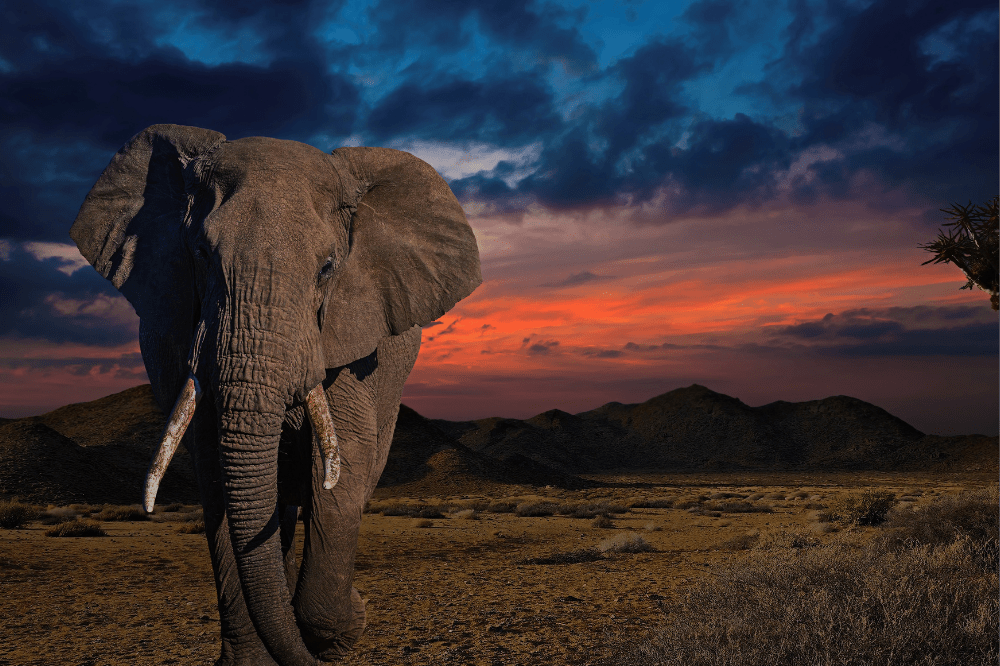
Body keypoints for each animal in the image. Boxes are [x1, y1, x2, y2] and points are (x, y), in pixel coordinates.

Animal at [69, 124, 481, 665]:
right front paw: (260, 655)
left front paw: (341, 629)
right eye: (201, 255)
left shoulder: (347, 336)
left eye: (328, 268)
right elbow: (217, 470)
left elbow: (345, 462)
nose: (363, 603)